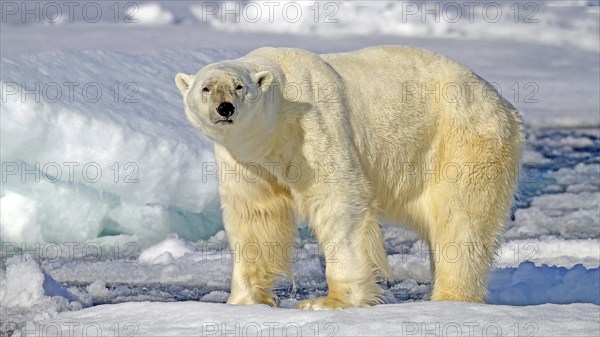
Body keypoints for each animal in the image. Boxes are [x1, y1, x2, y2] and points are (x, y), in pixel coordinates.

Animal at [175, 46, 524, 308]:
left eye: (239, 87)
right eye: (206, 88)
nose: (225, 108)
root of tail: (503, 104)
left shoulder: (313, 126)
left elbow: (338, 198)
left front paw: (328, 302)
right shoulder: (245, 161)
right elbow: (255, 217)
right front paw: (242, 301)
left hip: (461, 141)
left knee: (461, 220)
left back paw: (449, 298)